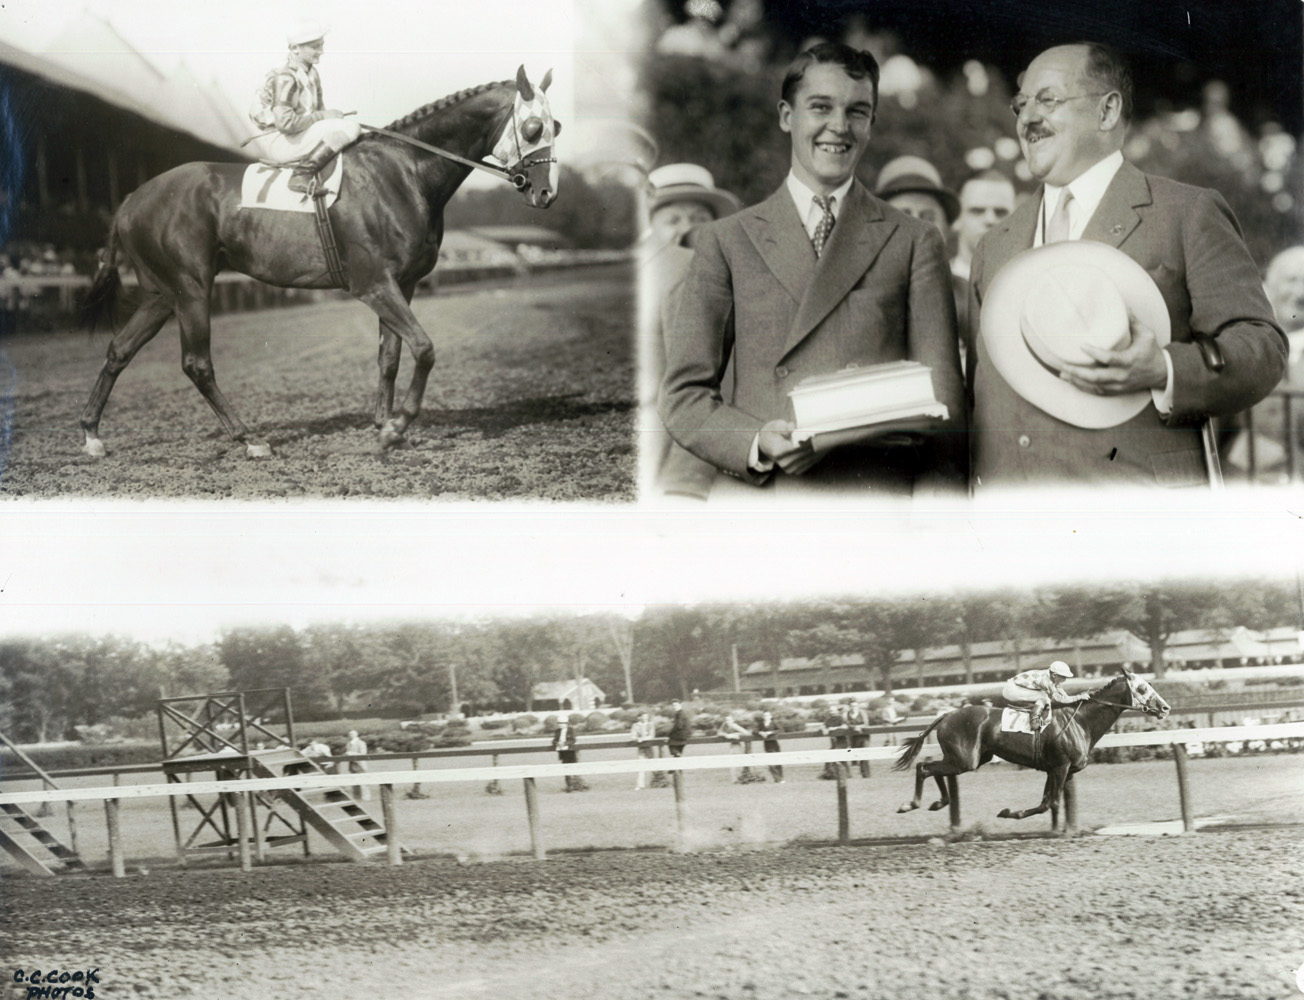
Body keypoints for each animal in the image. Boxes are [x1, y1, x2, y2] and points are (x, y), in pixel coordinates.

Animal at [80, 68, 560, 458]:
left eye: (555, 125)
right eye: (534, 126)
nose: (545, 194)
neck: (403, 173)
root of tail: (130, 199)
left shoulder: (402, 285)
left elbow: (390, 356)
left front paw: (384, 425)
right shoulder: (373, 284)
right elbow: (423, 348)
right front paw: (397, 427)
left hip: (163, 294)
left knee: (119, 349)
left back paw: (91, 434)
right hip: (192, 289)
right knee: (197, 363)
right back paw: (249, 438)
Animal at [897, 667, 1173, 834]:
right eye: (1142, 688)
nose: (1165, 708)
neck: (1080, 721)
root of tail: (946, 714)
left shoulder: (1056, 769)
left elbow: (1045, 802)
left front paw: (1010, 812)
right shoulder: (1061, 767)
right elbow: (1050, 802)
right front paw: (1010, 812)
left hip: (969, 758)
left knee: (935, 770)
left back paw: (938, 802)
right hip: (965, 759)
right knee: (924, 767)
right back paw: (910, 804)